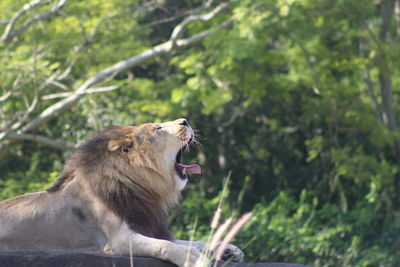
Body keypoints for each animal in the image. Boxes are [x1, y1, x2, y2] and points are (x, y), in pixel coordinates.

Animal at [0, 120, 244, 267]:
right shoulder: (119, 240)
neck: (140, 186)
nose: (185, 121)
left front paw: (228, 250)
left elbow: (193, 240)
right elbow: (166, 246)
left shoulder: (148, 225)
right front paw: (192, 258)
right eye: (158, 128)